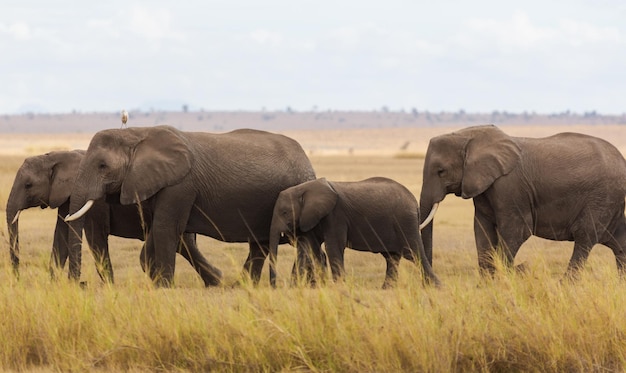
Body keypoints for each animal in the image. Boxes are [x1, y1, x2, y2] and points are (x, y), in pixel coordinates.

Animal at [6, 149, 222, 284]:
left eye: (28, 185)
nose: (17, 279)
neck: (59, 155)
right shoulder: (65, 198)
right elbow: (61, 237)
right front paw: (54, 285)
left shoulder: (96, 202)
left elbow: (95, 238)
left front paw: (109, 286)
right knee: (185, 244)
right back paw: (216, 280)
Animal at [64, 126, 322, 286]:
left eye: (102, 166)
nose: (80, 284)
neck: (137, 133)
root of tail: (307, 161)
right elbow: (162, 231)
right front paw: (158, 278)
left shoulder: (180, 185)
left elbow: (165, 228)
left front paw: (163, 285)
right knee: (260, 244)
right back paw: (240, 284)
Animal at [266, 177, 438, 288]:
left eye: (285, 212)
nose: (274, 287)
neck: (304, 189)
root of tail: (414, 202)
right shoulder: (310, 218)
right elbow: (311, 248)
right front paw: (320, 286)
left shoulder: (335, 215)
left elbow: (333, 247)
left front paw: (339, 286)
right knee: (392, 257)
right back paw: (387, 288)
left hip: (405, 221)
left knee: (414, 253)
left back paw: (435, 287)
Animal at [416, 124, 626, 276]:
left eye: (441, 171)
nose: (524, 266)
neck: (469, 136)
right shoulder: (484, 187)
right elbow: (482, 230)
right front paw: (485, 287)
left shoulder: (510, 187)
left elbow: (516, 231)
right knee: (619, 242)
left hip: (602, 198)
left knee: (585, 238)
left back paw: (565, 285)